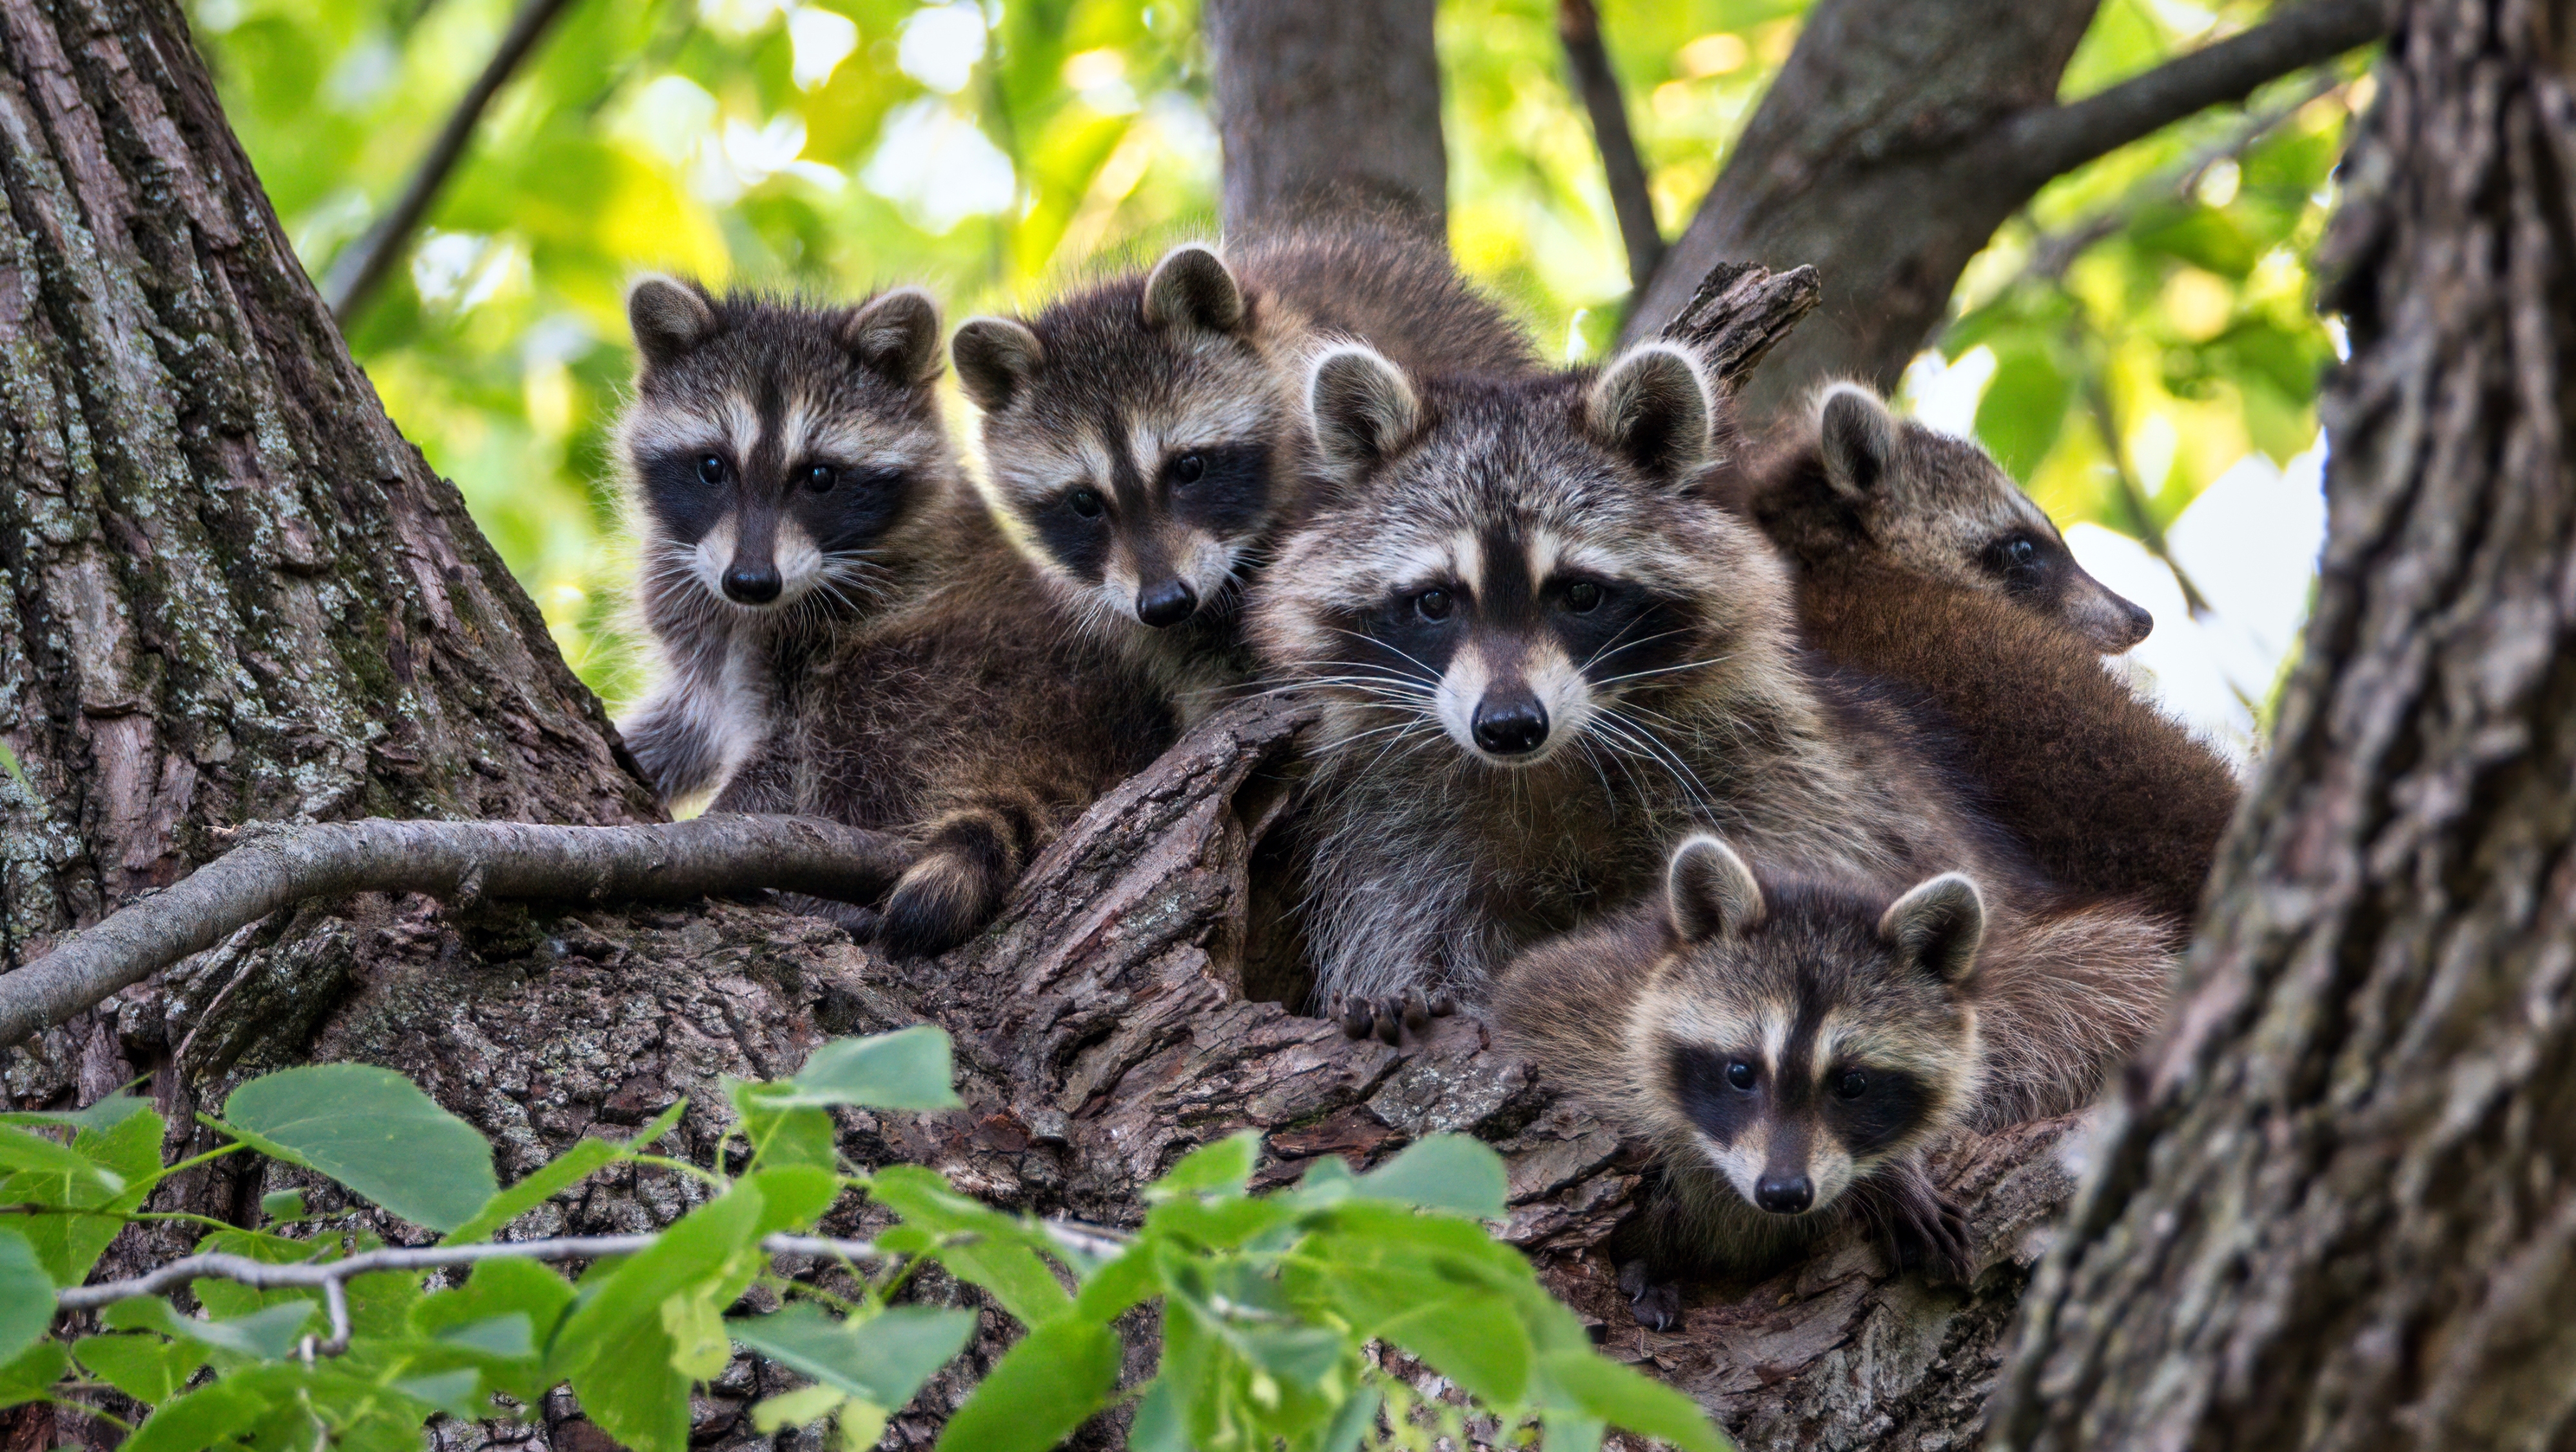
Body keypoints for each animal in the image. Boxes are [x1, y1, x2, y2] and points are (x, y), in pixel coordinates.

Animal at [1250, 340, 2035, 1013]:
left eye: (1579, 593)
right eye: (1437, 601)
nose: (1509, 726)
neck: (1543, 771)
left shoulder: (1775, 771)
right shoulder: (1389, 818)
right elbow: (1402, 925)